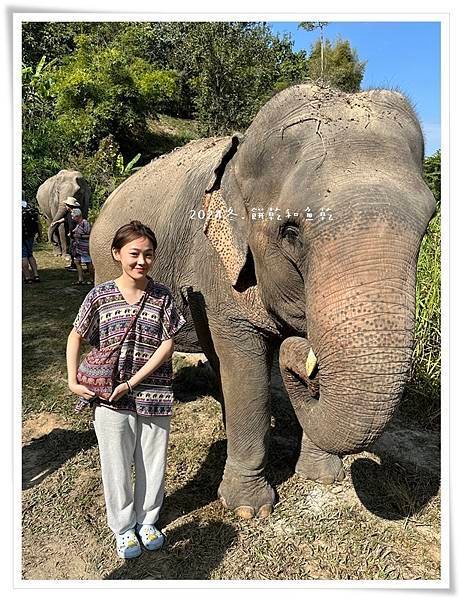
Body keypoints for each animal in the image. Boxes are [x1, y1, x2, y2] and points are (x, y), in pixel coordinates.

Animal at [89, 84, 434, 520]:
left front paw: (323, 477)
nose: (299, 351)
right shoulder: (218, 266)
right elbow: (246, 368)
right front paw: (248, 509)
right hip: (104, 262)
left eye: (428, 225)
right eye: (290, 232)